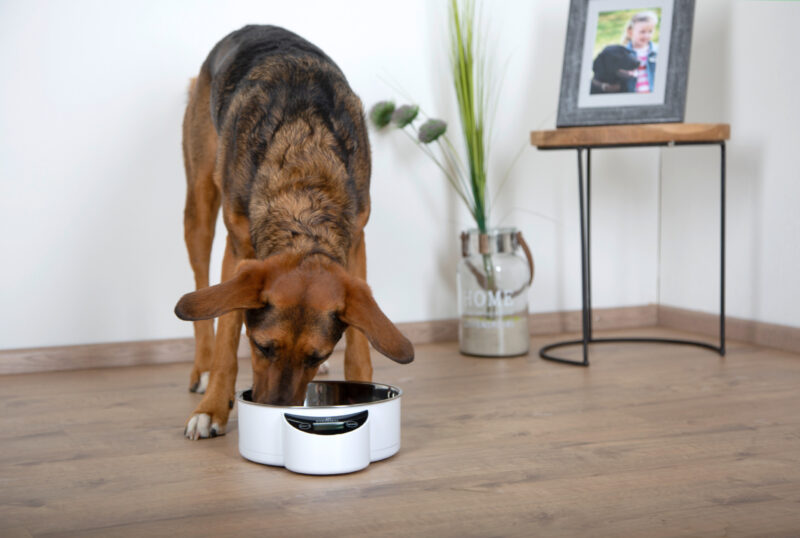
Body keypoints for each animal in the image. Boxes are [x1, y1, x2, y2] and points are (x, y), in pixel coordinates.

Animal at [173, 24, 412, 440]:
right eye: (262, 347)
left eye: (316, 356)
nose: (274, 409)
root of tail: (250, 27)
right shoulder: (238, 251)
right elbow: (226, 340)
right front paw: (212, 408)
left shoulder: (357, 243)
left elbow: (359, 347)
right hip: (199, 208)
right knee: (203, 293)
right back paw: (200, 370)